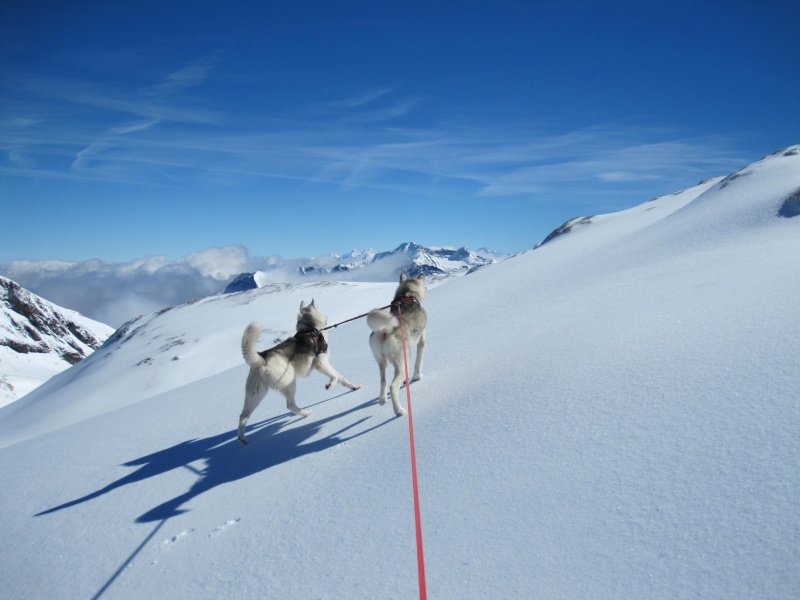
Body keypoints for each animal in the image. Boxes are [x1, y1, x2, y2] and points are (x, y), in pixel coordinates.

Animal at [239, 300, 360, 446]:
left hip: (255, 395)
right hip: (289, 383)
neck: (310, 329)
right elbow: (336, 376)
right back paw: (306, 413)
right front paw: (330, 384)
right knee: (290, 405)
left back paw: (242, 438)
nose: (327, 316)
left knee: (243, 416)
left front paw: (353, 387)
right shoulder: (321, 364)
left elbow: (342, 378)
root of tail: (261, 358)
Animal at [368, 274, 428, 414]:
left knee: (383, 381)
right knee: (393, 386)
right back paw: (398, 410)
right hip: (403, 361)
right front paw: (417, 377)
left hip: (381, 361)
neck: (407, 295)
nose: (427, 288)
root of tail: (385, 330)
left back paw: (382, 400)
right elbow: (418, 363)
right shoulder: (421, 341)